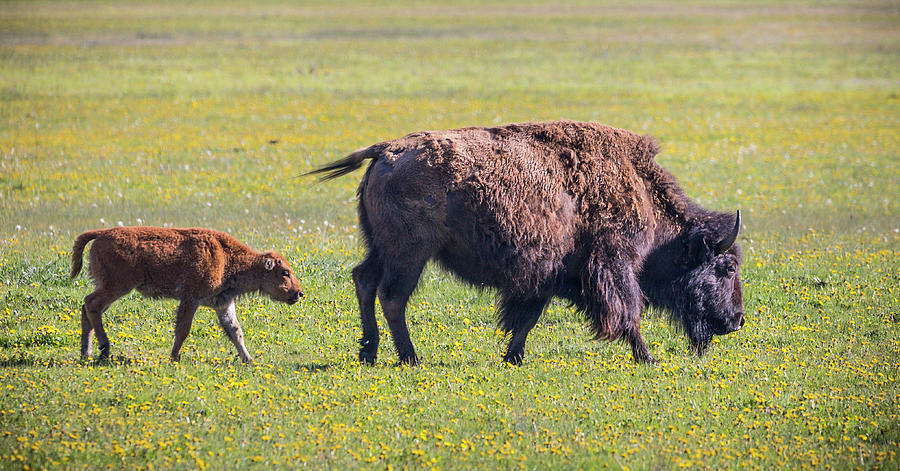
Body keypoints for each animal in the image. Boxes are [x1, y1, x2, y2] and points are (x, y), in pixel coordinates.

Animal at [70, 227, 302, 364]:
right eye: (284, 272)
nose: (299, 293)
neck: (226, 257)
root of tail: (101, 233)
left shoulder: (223, 304)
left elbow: (235, 331)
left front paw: (249, 359)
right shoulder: (191, 299)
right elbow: (183, 329)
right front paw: (174, 357)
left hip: (109, 288)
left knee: (87, 308)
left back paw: (86, 352)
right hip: (117, 287)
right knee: (91, 304)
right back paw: (104, 349)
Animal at [312, 121, 744, 366]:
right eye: (726, 267)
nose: (738, 319)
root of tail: (386, 150)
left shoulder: (548, 275)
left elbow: (527, 317)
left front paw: (513, 357)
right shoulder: (613, 265)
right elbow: (628, 311)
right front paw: (648, 357)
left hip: (381, 248)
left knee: (365, 281)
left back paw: (369, 353)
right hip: (410, 253)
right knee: (392, 297)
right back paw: (410, 358)